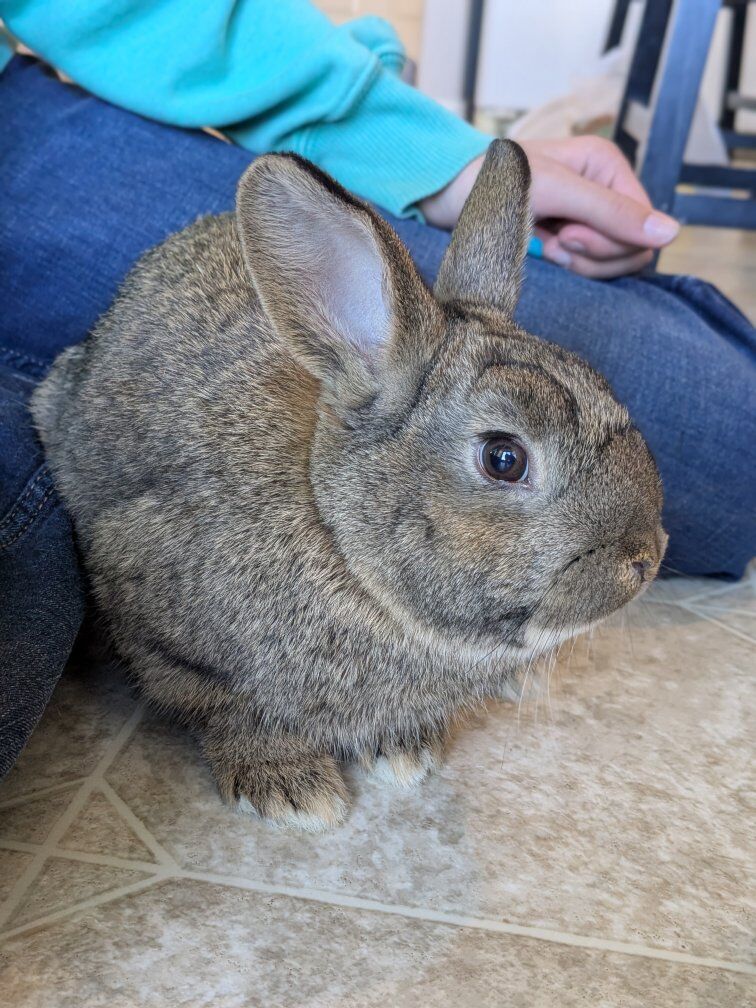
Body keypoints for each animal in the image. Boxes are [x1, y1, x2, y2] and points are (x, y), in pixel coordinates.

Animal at [32, 140, 666, 830]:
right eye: (504, 459)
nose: (647, 557)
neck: (339, 537)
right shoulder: (162, 625)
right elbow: (230, 711)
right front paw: (292, 789)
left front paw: (403, 751)